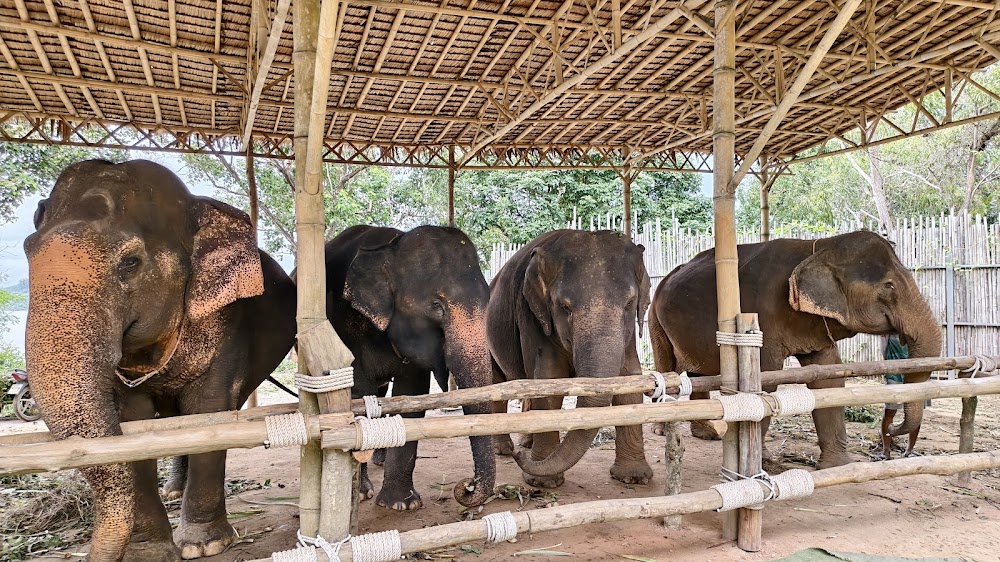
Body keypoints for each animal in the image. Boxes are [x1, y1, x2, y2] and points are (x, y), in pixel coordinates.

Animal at [24, 159, 296, 562]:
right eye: (28, 250)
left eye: (130, 263)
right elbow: (132, 422)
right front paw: (149, 552)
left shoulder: (230, 321)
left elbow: (209, 408)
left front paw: (204, 545)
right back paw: (173, 490)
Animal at [320, 224, 495, 510]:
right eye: (437, 306)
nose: (466, 486)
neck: (392, 247)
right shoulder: (343, 327)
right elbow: (358, 393)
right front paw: (362, 494)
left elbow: (411, 396)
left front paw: (402, 504)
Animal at [487, 229, 653, 489]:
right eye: (565, 307)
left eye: (629, 303)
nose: (518, 457)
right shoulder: (533, 318)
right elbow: (548, 383)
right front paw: (543, 483)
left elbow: (630, 380)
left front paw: (634, 478)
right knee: (498, 383)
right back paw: (505, 449)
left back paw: (526, 444)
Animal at [647, 230, 942, 468]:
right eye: (889, 286)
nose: (891, 431)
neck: (818, 247)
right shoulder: (761, 315)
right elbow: (766, 382)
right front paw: (759, 464)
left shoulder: (815, 325)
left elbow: (828, 380)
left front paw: (837, 467)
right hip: (654, 319)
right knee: (667, 366)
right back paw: (662, 431)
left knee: (697, 373)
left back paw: (707, 433)